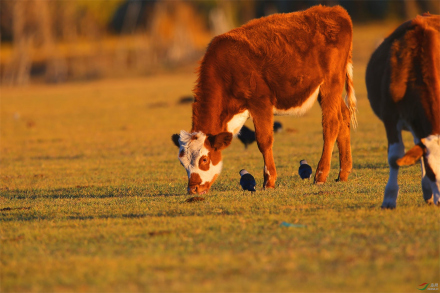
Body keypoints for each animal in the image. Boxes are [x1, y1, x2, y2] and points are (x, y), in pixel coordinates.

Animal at [172, 4, 358, 194]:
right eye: (182, 163)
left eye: (204, 160)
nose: (193, 188)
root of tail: (334, 10)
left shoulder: (260, 103)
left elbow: (264, 141)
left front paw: (269, 181)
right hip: (327, 89)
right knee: (344, 117)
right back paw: (343, 173)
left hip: (331, 83)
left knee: (331, 124)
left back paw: (321, 175)